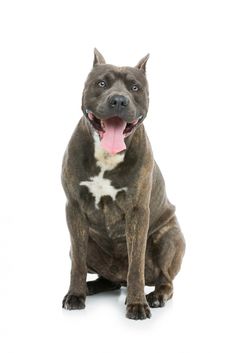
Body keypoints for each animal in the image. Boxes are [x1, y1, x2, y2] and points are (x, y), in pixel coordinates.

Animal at [61, 48, 185, 320]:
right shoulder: (74, 208)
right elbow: (77, 263)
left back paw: (155, 296)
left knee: (165, 280)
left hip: (170, 238)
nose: (118, 100)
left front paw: (137, 304)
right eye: (101, 84)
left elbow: (136, 264)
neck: (107, 156)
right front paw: (75, 295)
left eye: (135, 87)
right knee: (105, 276)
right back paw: (91, 286)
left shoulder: (138, 212)